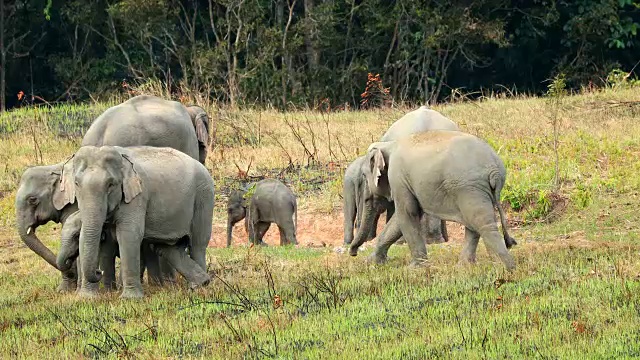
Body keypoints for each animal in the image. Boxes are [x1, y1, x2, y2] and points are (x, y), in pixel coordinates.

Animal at [53, 146, 214, 298]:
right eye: (76, 183)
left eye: (110, 184)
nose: (99, 272)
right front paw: (87, 297)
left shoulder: (137, 196)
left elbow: (128, 235)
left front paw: (130, 298)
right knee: (168, 248)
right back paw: (201, 282)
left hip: (204, 198)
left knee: (197, 245)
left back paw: (199, 289)